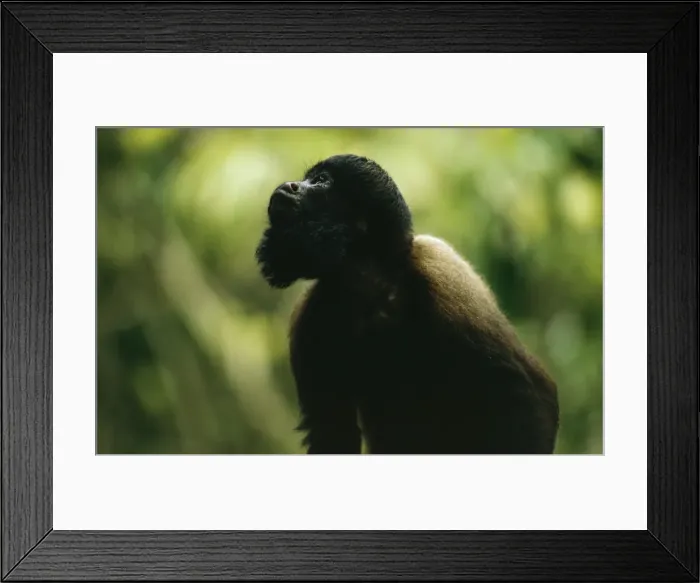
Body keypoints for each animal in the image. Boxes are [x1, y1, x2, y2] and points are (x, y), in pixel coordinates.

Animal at [255, 154, 559, 454]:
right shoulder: (310, 318)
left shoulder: (439, 267)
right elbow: (331, 431)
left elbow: (527, 392)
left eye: (320, 180)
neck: (369, 282)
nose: (290, 185)